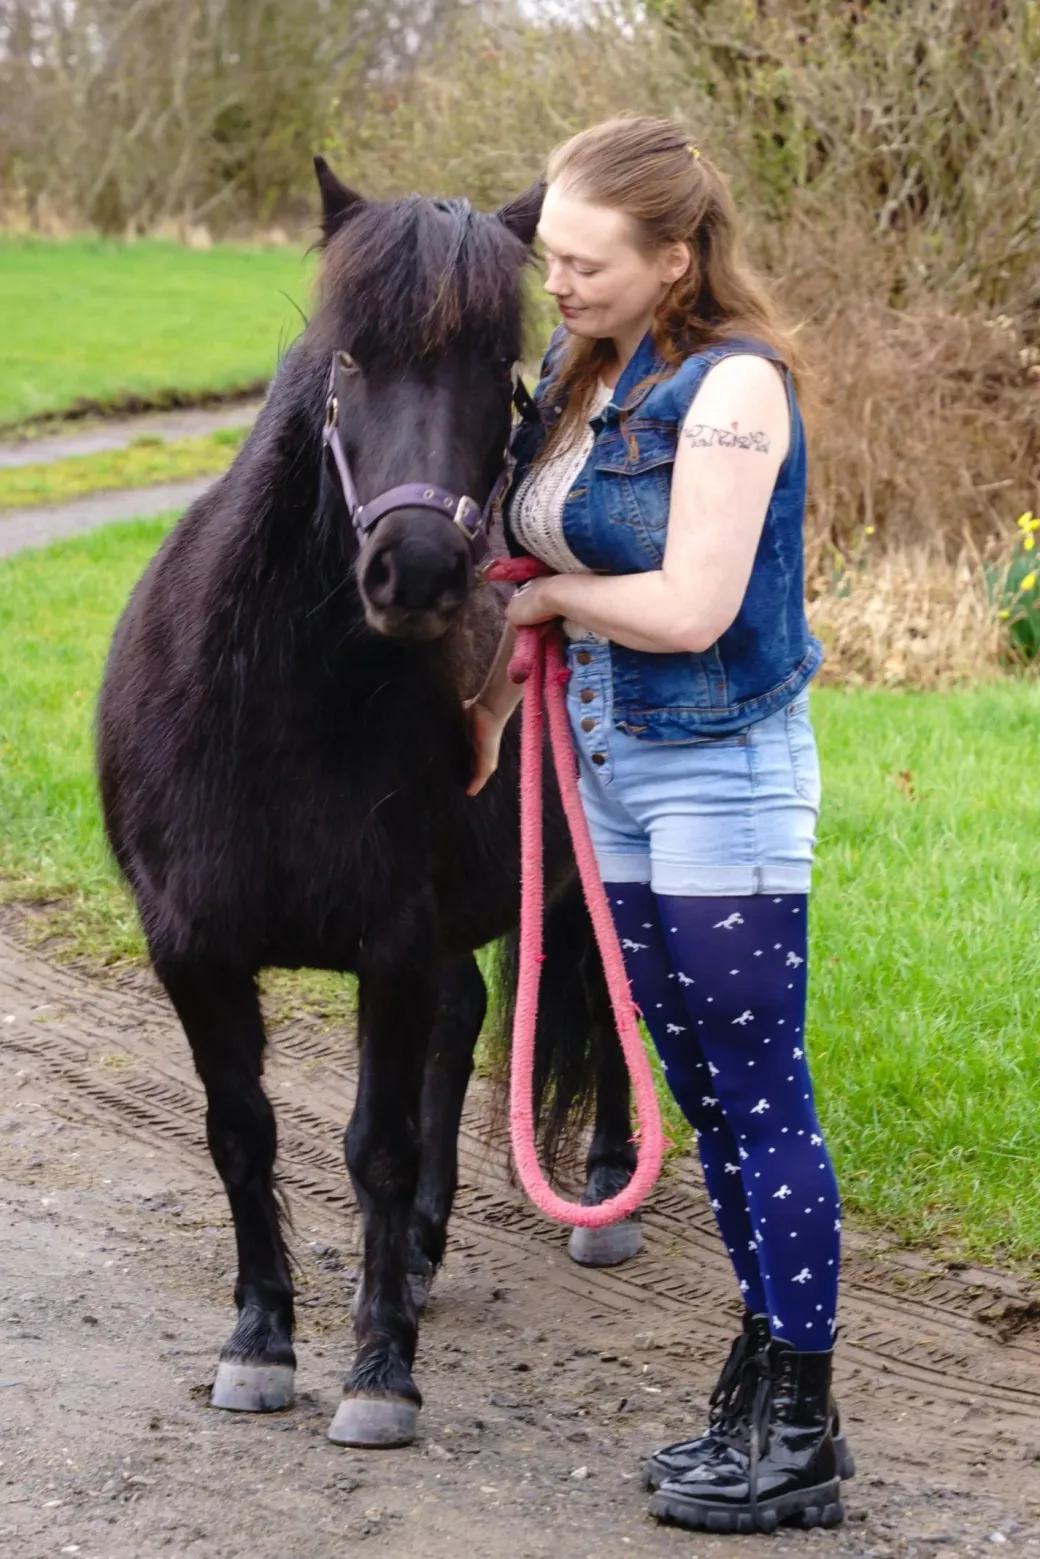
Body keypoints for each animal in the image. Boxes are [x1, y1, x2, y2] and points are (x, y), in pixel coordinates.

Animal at [96, 157, 641, 1450]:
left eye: (497, 367)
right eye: (350, 358)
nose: (420, 572)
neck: (276, 706)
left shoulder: (388, 945)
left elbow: (376, 1148)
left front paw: (379, 1371)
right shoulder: (192, 949)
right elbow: (241, 1134)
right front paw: (260, 1340)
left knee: (609, 1004)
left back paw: (603, 1190)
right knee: (468, 1012)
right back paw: (432, 1250)